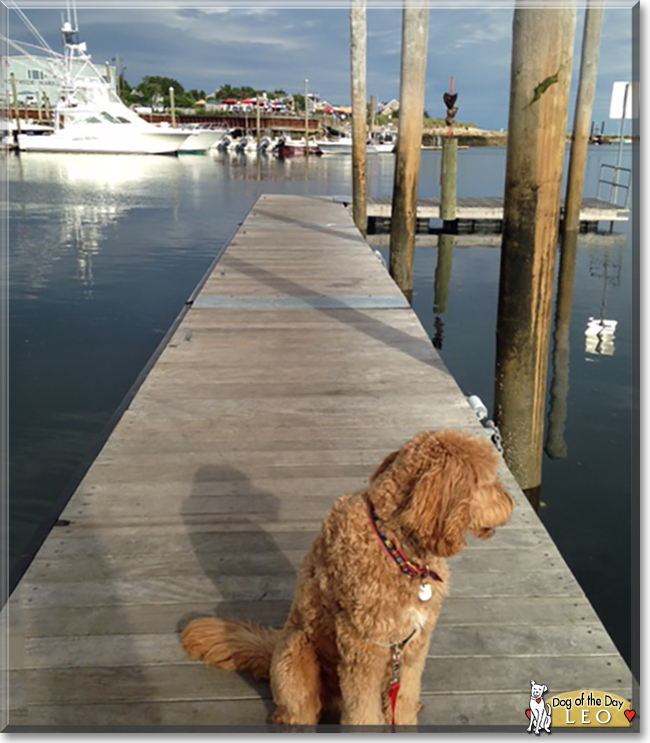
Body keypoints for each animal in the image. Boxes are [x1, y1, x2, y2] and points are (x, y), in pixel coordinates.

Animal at [181, 430, 512, 728]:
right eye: (489, 481)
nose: (511, 501)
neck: (395, 546)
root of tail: (272, 648)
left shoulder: (414, 645)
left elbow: (403, 699)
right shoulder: (363, 649)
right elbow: (364, 713)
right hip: (296, 658)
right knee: (296, 712)